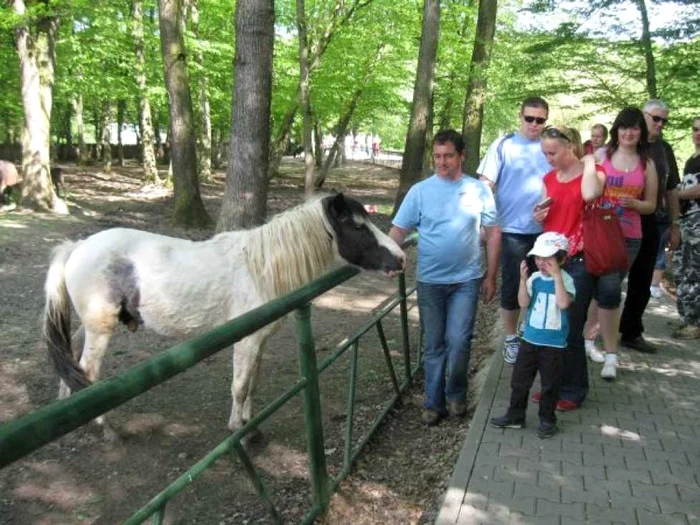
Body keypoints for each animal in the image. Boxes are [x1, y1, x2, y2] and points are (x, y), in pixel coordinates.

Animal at [43, 192, 404, 434]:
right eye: (358, 227)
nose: (400, 259)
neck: (260, 268)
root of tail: (78, 247)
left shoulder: (260, 340)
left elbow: (253, 383)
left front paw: (249, 420)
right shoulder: (246, 341)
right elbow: (240, 386)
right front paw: (238, 430)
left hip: (92, 324)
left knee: (74, 355)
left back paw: (66, 403)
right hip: (100, 327)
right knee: (89, 370)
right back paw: (100, 423)